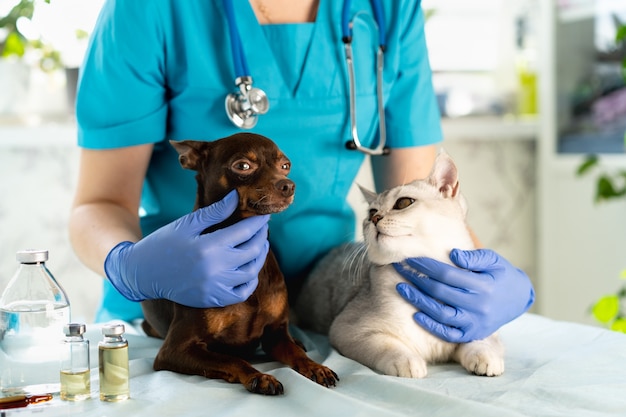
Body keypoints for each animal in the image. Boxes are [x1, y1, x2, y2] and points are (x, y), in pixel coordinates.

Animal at [141, 132, 336, 394]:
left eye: (285, 166)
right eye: (243, 166)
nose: (288, 185)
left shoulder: (275, 335)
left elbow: (295, 353)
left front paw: (316, 367)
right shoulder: (175, 350)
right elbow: (231, 359)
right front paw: (259, 376)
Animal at [294, 151, 504, 378]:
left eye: (403, 203)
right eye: (371, 212)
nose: (375, 218)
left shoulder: (477, 321)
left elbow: (482, 338)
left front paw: (486, 355)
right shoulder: (347, 329)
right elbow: (386, 345)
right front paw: (407, 360)